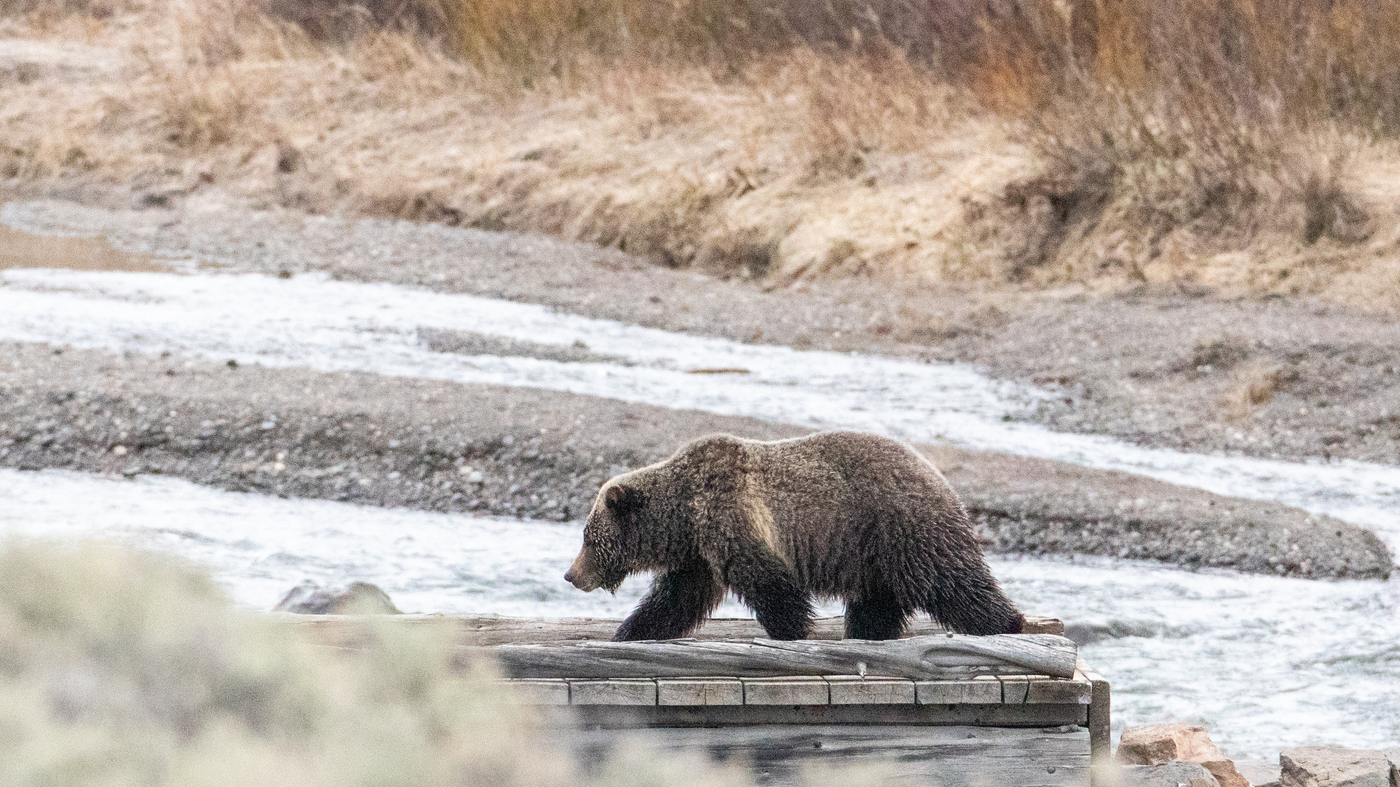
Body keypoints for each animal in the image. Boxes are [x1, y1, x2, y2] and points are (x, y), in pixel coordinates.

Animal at [564, 430, 1024, 642]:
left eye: (588, 538)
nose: (571, 574)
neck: (683, 515)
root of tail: (937, 474)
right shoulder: (699, 553)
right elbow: (676, 598)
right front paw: (631, 631)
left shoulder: (731, 516)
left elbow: (768, 581)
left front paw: (791, 630)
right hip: (872, 552)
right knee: (878, 601)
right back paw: (866, 633)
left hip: (903, 526)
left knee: (951, 580)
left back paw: (1006, 622)